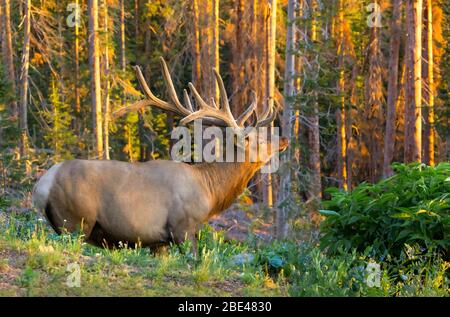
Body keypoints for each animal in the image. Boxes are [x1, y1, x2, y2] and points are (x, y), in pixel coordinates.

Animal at [34, 58, 288, 252]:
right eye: (256, 139)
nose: (284, 139)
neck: (209, 191)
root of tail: (41, 186)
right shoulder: (183, 227)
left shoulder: (159, 243)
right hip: (76, 221)